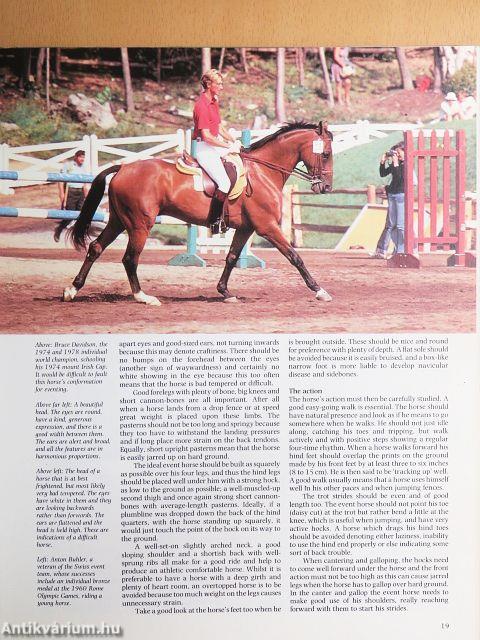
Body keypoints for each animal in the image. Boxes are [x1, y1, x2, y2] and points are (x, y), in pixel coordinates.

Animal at [60, 121, 334, 306]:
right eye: (326, 154)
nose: (327, 188)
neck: (262, 172)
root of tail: (123, 167)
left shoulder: (246, 228)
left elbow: (231, 257)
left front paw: (225, 292)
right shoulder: (266, 226)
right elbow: (295, 257)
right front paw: (319, 290)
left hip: (118, 221)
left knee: (96, 247)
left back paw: (72, 290)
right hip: (140, 224)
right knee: (130, 258)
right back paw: (143, 297)